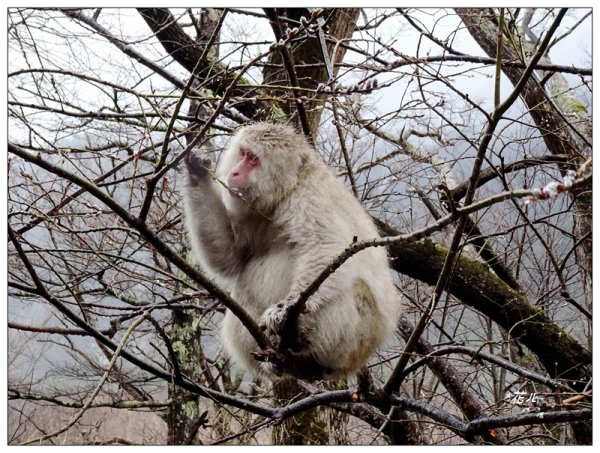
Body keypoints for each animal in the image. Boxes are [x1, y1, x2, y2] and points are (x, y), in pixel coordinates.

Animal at [182, 122, 398, 380]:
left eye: (253, 159)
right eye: (242, 153)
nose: (234, 173)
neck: (286, 191)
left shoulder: (311, 198)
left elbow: (327, 246)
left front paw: (285, 310)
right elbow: (230, 257)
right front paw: (198, 172)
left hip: (355, 339)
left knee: (351, 289)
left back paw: (300, 345)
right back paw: (274, 360)